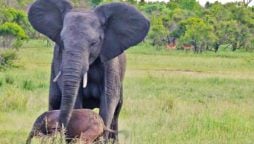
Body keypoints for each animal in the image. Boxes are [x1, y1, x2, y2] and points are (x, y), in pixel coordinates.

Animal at [27, 0, 150, 142]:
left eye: (94, 43)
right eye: (62, 41)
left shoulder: (111, 62)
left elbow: (109, 98)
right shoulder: (59, 57)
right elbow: (75, 98)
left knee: (116, 112)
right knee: (54, 100)